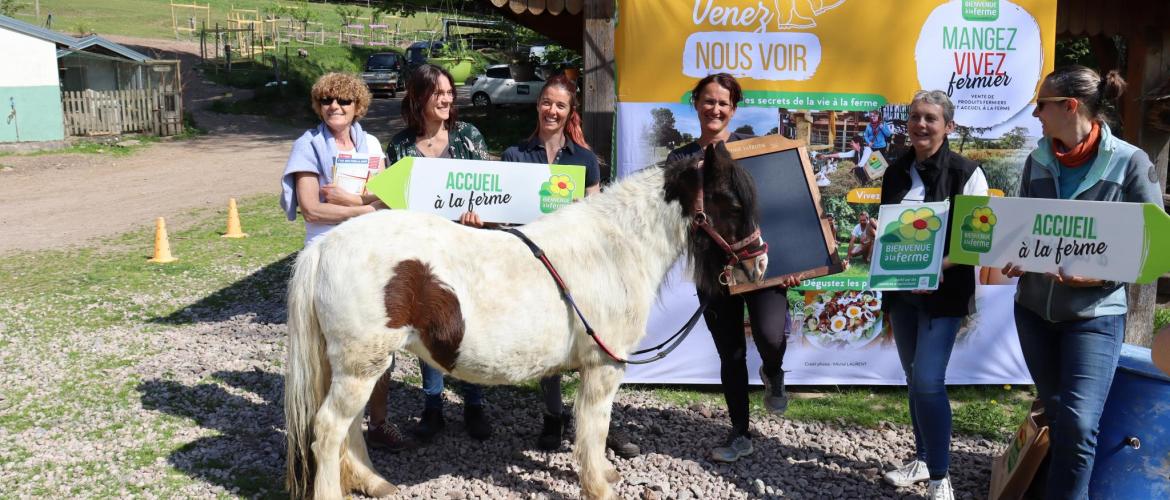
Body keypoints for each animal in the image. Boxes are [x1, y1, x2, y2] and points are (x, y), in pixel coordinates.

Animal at [284, 142, 767, 498]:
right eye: (730, 202)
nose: (758, 264)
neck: (613, 251)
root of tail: (325, 246)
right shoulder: (603, 367)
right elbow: (593, 427)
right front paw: (599, 485)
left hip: (357, 367)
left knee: (349, 430)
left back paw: (374, 482)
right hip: (360, 366)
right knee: (328, 430)